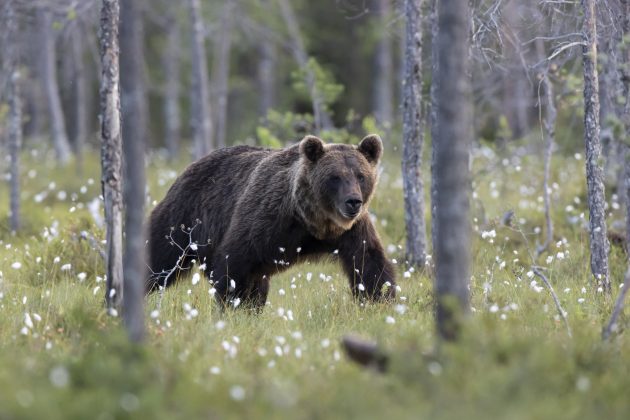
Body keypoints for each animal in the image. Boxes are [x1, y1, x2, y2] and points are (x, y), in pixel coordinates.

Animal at [148, 135, 396, 308]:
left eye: (361, 175)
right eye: (335, 177)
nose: (353, 202)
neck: (314, 222)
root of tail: (190, 165)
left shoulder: (352, 231)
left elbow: (370, 264)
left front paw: (381, 300)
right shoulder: (266, 220)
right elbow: (234, 265)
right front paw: (235, 307)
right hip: (185, 217)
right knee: (158, 257)